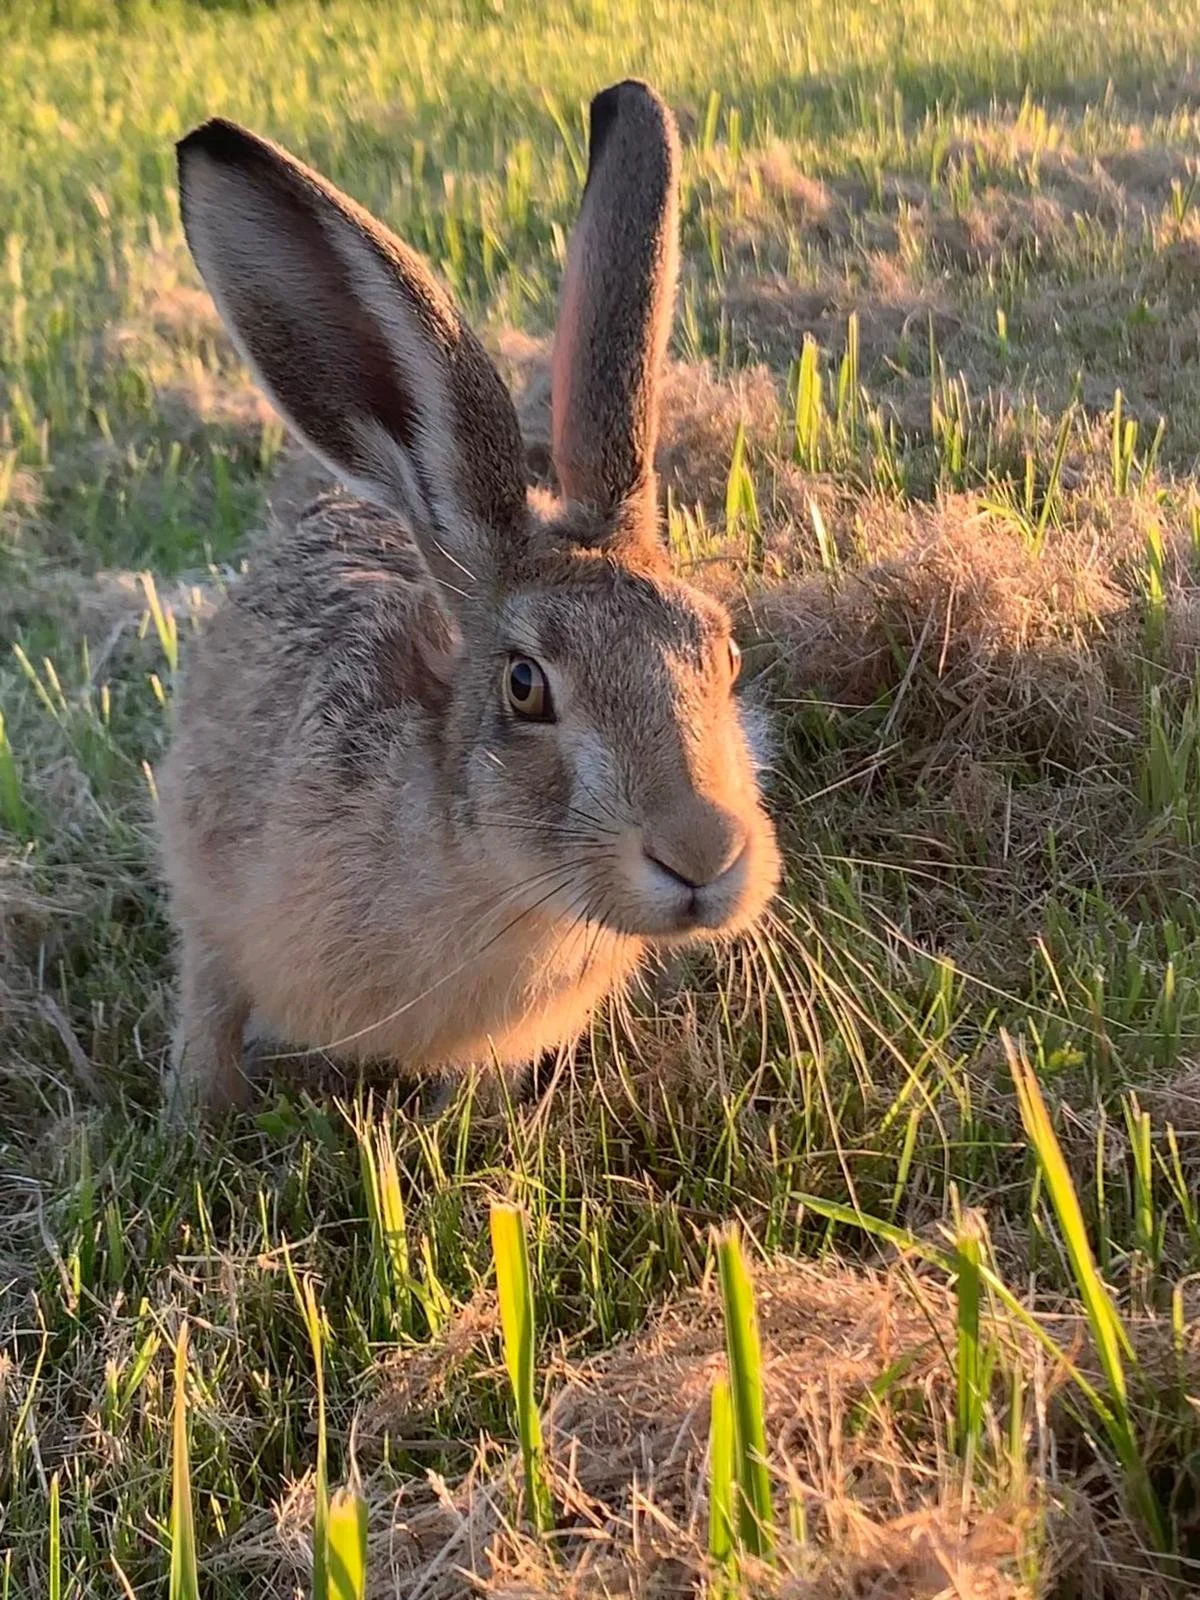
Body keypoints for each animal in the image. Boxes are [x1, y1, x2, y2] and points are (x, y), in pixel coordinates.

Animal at [158, 79, 782, 1119]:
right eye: (525, 686)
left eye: (724, 655)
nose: (702, 854)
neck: (502, 881)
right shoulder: (210, 906)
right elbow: (208, 1010)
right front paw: (194, 1123)